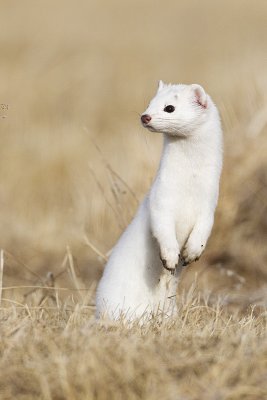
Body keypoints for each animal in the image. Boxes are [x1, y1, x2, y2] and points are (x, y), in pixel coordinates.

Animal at [96, 81, 224, 322]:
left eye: (169, 108)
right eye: (149, 103)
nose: (145, 116)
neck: (189, 187)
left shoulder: (209, 203)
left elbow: (204, 230)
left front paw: (192, 252)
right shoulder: (160, 199)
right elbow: (162, 228)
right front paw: (170, 258)